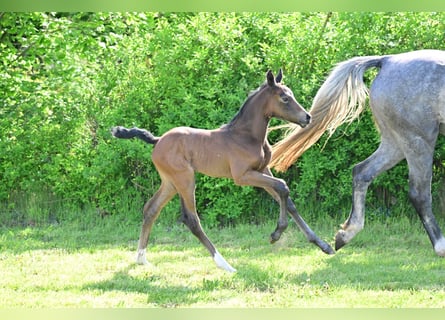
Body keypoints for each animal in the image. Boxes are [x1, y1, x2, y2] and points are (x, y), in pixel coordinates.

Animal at [268, 48, 444, 256]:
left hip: (396, 143)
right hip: (418, 140)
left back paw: (345, 234)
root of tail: (388, 60)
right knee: (419, 193)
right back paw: (441, 246)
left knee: (361, 172)